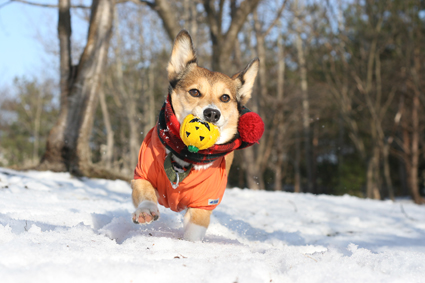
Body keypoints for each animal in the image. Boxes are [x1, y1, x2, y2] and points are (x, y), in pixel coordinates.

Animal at [131, 30, 260, 242]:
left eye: (225, 97)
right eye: (194, 92)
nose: (212, 114)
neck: (186, 155)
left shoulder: (203, 203)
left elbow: (194, 230)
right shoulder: (141, 174)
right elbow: (145, 193)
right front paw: (145, 212)